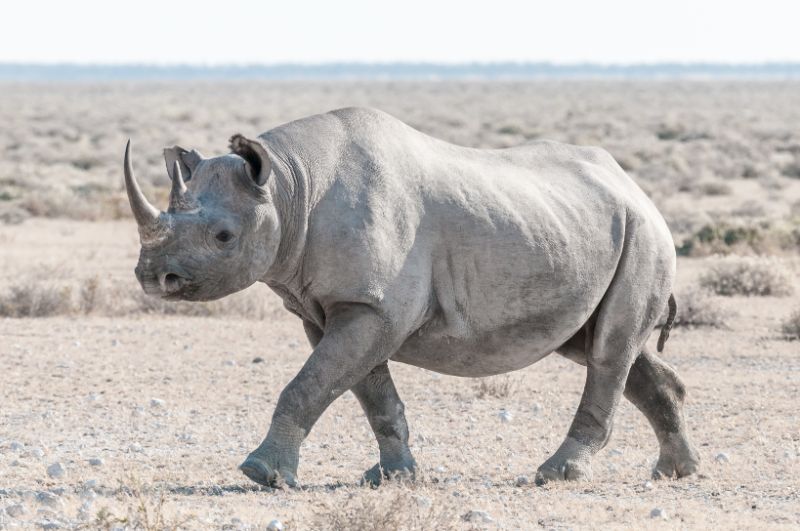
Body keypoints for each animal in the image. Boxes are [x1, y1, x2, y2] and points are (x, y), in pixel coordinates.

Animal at [122, 106, 696, 488]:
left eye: (223, 237)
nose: (153, 277)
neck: (289, 187)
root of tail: (636, 187)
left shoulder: (372, 306)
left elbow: (309, 384)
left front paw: (261, 474)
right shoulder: (336, 306)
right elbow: (368, 392)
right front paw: (393, 477)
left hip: (644, 232)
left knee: (607, 351)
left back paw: (556, 474)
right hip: (593, 227)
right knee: (599, 345)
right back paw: (676, 471)